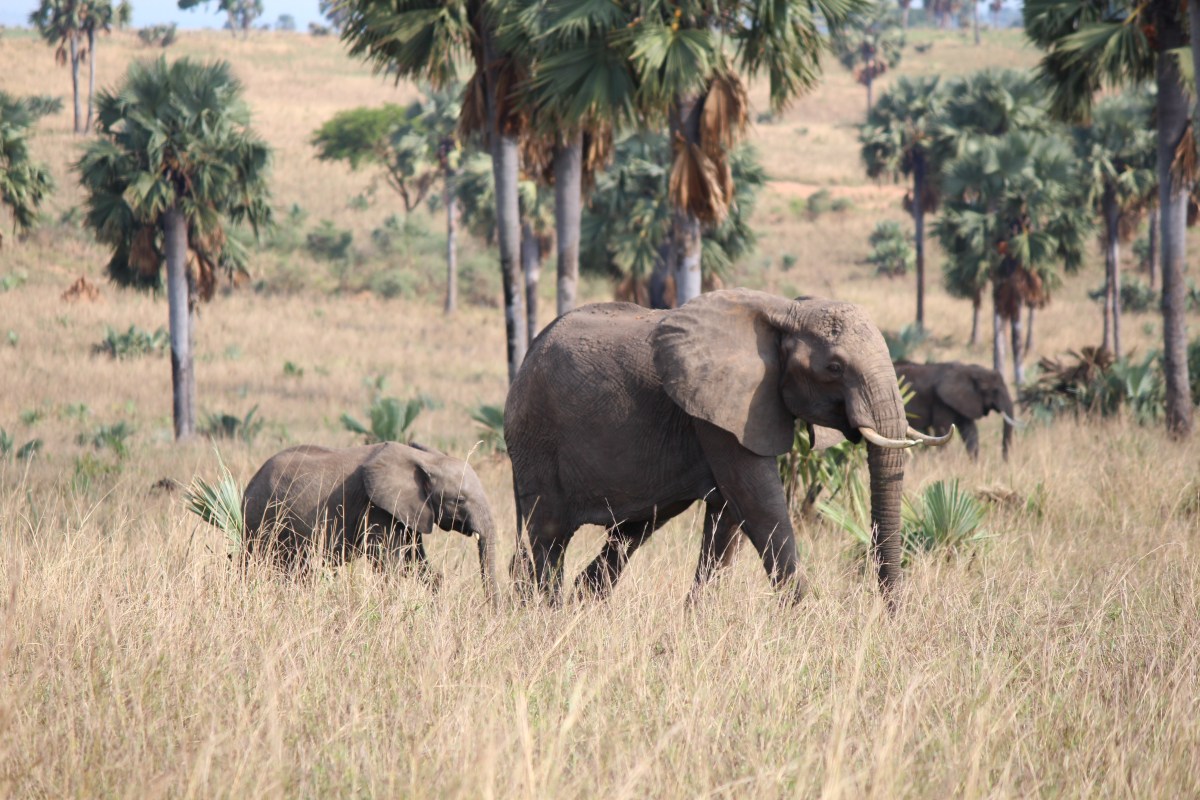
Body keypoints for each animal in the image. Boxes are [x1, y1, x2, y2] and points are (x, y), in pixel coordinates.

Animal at [241, 442, 497, 599]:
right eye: (459, 500)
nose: (491, 615)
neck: (425, 459)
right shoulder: (377, 508)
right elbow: (389, 567)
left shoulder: (409, 511)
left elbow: (417, 563)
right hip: (262, 520)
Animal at [504, 288, 950, 605]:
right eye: (834, 368)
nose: (891, 615)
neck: (788, 311)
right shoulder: (720, 409)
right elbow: (758, 502)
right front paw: (809, 620)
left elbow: (728, 516)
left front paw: (697, 621)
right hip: (536, 435)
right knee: (547, 535)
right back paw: (541, 614)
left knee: (629, 533)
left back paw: (575, 606)